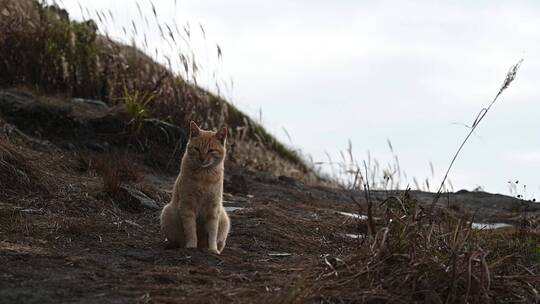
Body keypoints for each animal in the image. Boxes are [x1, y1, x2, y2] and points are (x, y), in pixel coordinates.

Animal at [159, 121, 229, 254]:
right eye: (197, 149)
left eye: (211, 150)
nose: (202, 159)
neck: (204, 176)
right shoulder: (187, 206)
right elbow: (191, 230)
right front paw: (191, 246)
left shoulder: (213, 209)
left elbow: (213, 232)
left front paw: (213, 249)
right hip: (167, 212)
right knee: (177, 241)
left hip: (224, 219)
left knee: (220, 241)